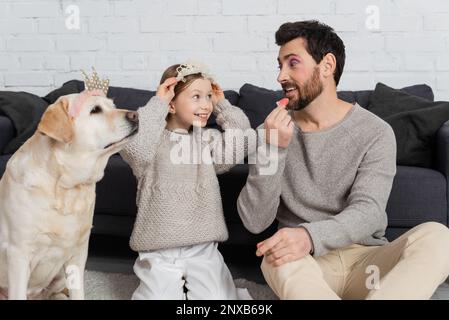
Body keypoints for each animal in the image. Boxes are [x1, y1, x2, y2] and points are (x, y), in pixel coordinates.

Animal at [0, 93, 138, 300]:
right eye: (95, 110)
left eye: (113, 106)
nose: (136, 115)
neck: (66, 187)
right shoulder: (18, 253)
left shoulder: (79, 252)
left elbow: (78, 292)